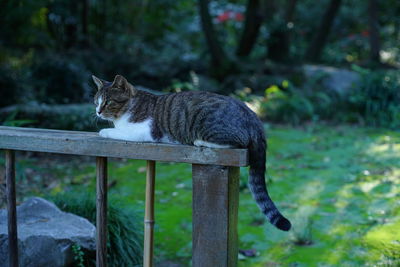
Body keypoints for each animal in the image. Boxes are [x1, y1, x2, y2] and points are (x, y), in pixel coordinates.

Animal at [92, 74, 290, 231]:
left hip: (214, 126)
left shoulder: (144, 131)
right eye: (96, 102)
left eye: (108, 102)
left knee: (237, 142)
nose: (98, 111)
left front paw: (104, 131)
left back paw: (199, 141)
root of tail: (254, 117)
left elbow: (116, 132)